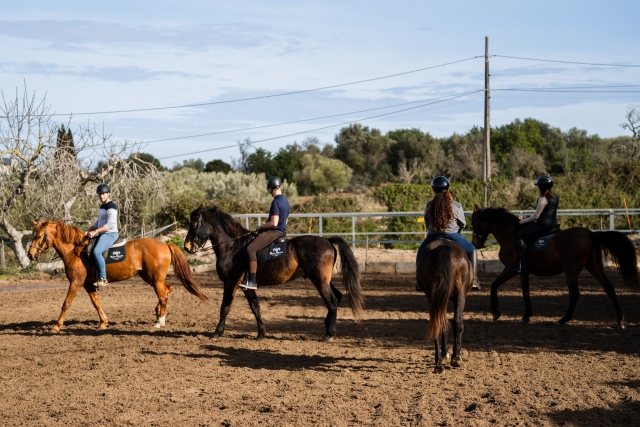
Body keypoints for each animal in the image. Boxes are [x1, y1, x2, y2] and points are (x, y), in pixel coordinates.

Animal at [27, 220, 208, 331]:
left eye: (39, 236)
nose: (30, 255)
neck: (76, 251)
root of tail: (165, 244)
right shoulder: (88, 284)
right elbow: (96, 303)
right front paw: (103, 323)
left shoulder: (76, 283)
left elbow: (66, 303)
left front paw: (56, 326)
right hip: (150, 277)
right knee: (167, 290)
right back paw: (157, 313)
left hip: (155, 279)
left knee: (163, 295)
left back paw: (160, 321)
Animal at [183, 206, 364, 341]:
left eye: (195, 223)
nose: (187, 246)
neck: (231, 247)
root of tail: (327, 240)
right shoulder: (246, 286)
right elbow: (255, 307)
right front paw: (261, 333)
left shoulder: (231, 282)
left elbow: (225, 307)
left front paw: (216, 333)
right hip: (324, 280)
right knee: (337, 297)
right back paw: (328, 328)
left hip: (319, 280)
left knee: (332, 301)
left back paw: (328, 334)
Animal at [416, 239, 473, 374]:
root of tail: (443, 248)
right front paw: (451, 355)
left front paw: (444, 353)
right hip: (460, 294)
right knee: (457, 322)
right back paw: (456, 358)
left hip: (434, 296)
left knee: (436, 323)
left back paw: (439, 364)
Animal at [470, 205, 639, 327]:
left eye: (474, 223)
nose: (475, 244)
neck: (511, 235)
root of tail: (590, 233)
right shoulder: (523, 272)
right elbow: (526, 292)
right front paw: (526, 316)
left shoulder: (511, 269)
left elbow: (494, 285)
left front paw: (495, 311)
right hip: (594, 266)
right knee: (609, 288)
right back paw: (620, 321)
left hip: (571, 270)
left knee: (575, 294)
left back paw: (563, 320)